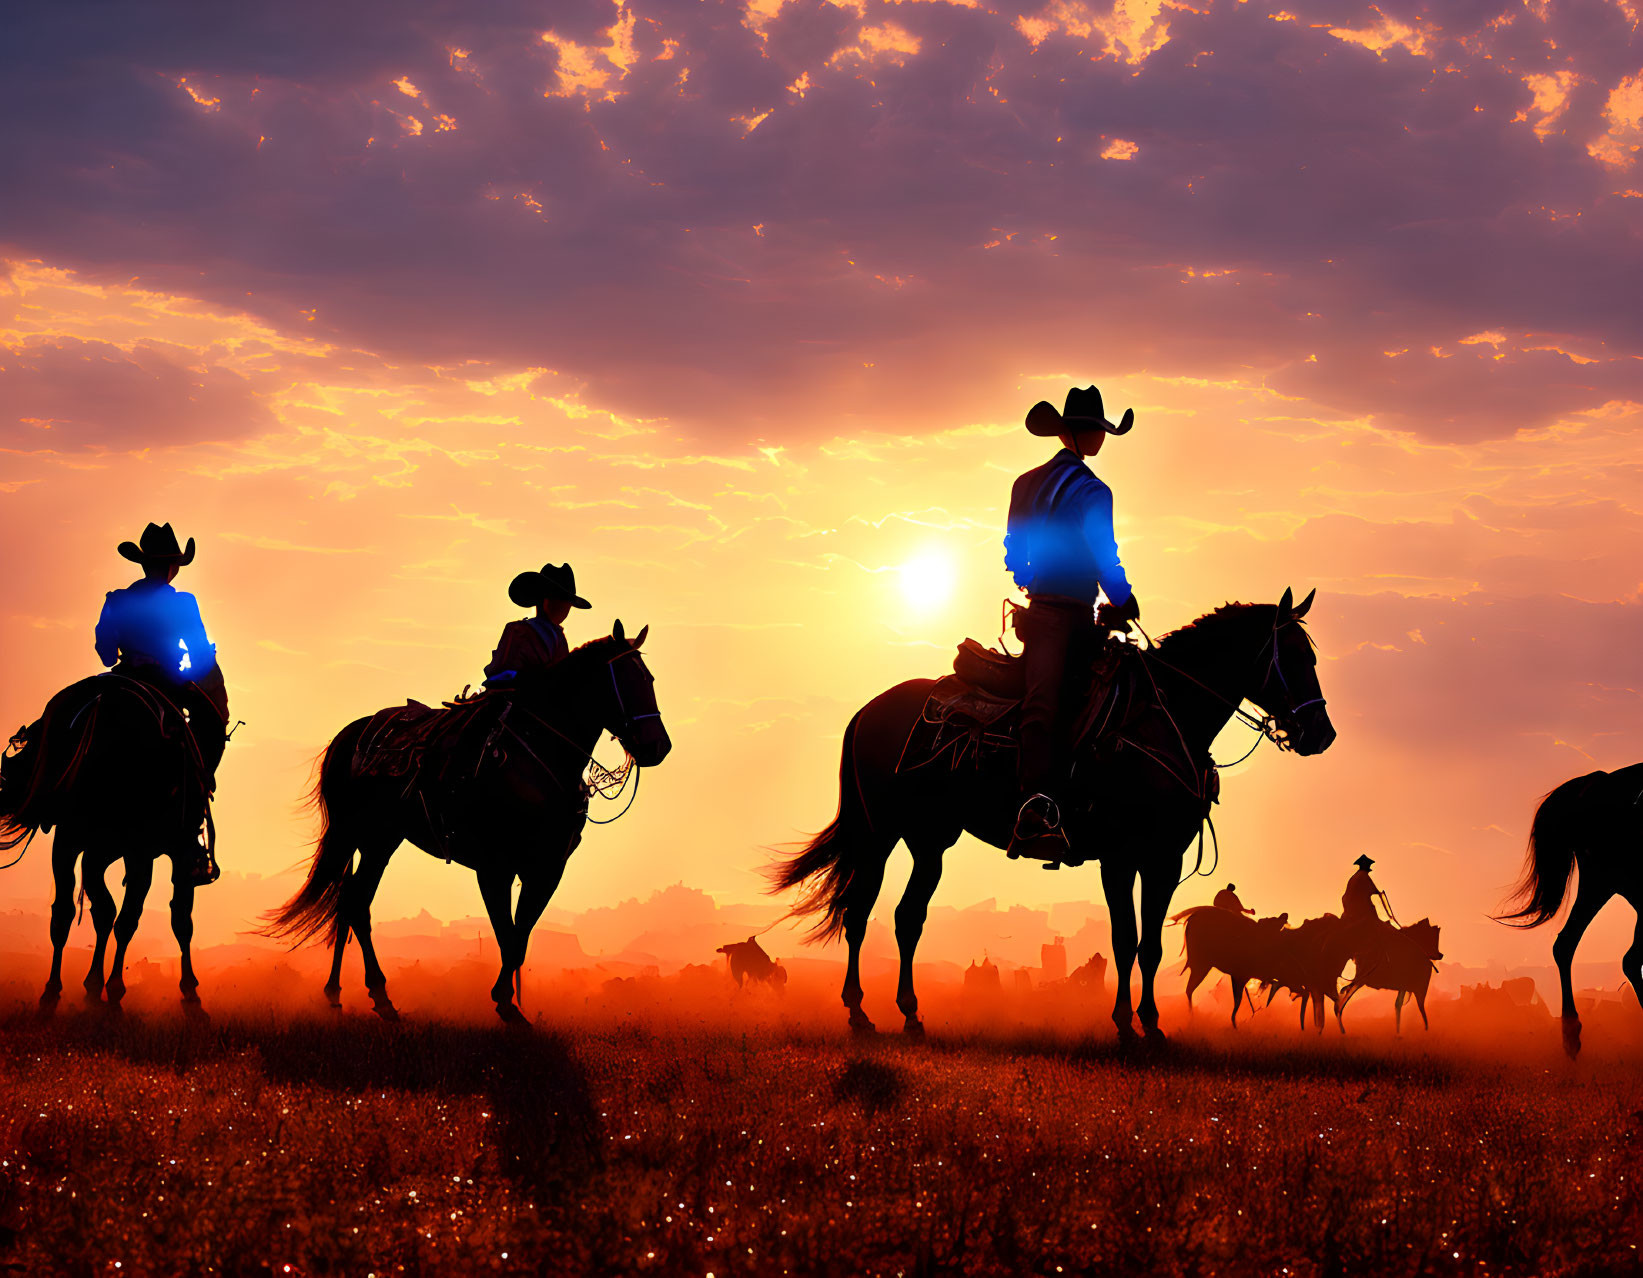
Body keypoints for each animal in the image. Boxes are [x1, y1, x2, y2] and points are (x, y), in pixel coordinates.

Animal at [0, 673, 215, 1011]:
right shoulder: (146, 851)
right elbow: (152, 917)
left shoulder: (94, 847)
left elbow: (110, 912)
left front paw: (93, 988)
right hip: (109, 846)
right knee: (105, 913)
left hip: (86, 843)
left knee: (83, 910)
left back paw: (69, 990)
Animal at [262, 620, 667, 1018]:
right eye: (625, 680)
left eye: (650, 679)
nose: (658, 747)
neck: (536, 762)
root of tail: (350, 736)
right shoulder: (494, 867)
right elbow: (507, 934)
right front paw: (506, 1004)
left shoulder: (547, 868)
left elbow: (521, 935)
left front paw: (511, 1003)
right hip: (359, 834)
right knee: (355, 903)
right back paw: (376, 994)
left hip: (380, 840)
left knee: (351, 902)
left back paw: (344, 993)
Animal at [768, 588, 1334, 1038]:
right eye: (1295, 656)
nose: (1321, 734)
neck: (1158, 721)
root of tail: (868, 710)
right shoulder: (1120, 859)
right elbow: (1126, 940)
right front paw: (1125, 1024)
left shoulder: (1164, 860)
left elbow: (1148, 945)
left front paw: (1151, 1024)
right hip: (878, 834)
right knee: (860, 912)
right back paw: (859, 1012)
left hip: (931, 840)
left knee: (909, 918)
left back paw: (909, 1013)